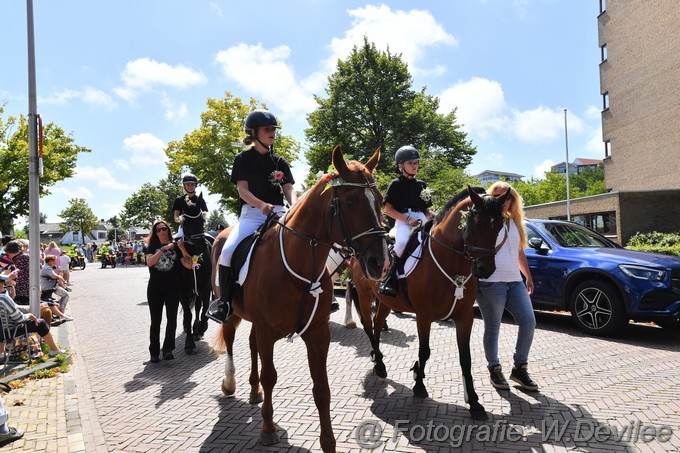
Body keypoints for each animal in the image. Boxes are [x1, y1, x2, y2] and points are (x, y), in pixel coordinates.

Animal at [211, 147, 388, 450]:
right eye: (350, 201)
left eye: (379, 200)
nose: (380, 263)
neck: (297, 264)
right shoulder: (268, 330)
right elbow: (271, 376)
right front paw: (267, 428)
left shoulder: (317, 333)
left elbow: (322, 388)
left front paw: (328, 442)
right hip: (231, 311)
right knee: (231, 339)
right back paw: (230, 383)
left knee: (251, 344)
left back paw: (254, 388)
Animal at [348, 185, 508, 418]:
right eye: (478, 224)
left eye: (499, 227)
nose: (486, 269)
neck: (448, 261)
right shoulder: (424, 316)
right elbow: (425, 351)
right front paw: (419, 384)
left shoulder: (465, 316)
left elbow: (466, 358)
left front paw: (474, 402)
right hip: (365, 295)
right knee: (368, 326)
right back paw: (378, 364)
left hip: (385, 301)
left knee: (377, 325)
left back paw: (378, 359)